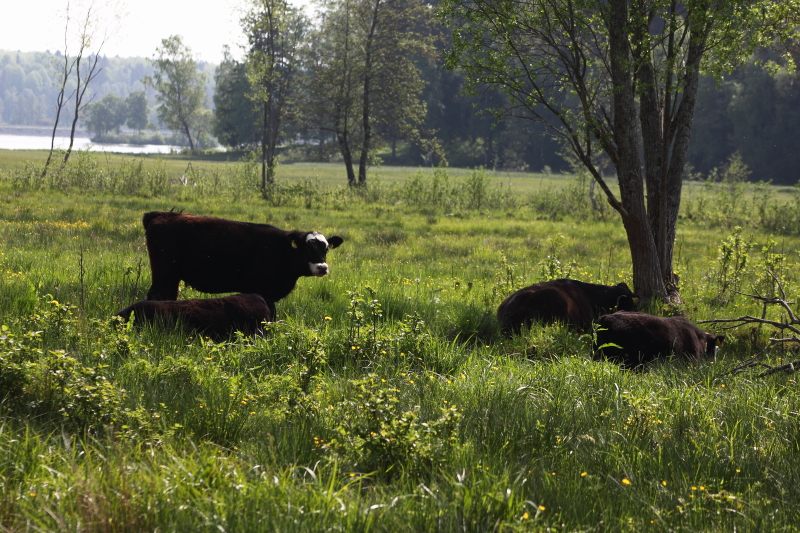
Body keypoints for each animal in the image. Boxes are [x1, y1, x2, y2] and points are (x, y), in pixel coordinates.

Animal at [144, 210, 344, 314]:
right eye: (307, 248)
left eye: (326, 249)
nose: (322, 267)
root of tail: (161, 215)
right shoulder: (258, 291)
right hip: (164, 274)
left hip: (171, 277)